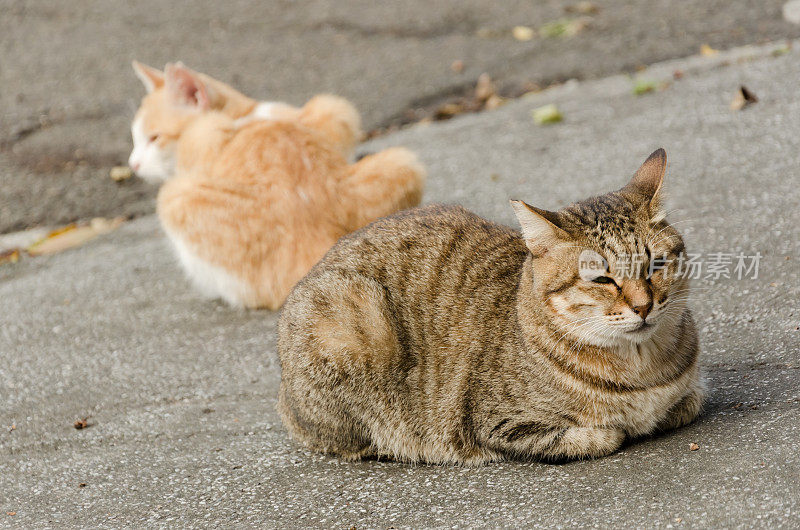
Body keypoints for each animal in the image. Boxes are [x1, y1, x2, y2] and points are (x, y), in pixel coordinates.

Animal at [130, 62, 424, 310]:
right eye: (135, 138)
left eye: (154, 138)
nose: (133, 164)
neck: (240, 114)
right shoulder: (331, 112)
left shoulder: (201, 140)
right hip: (402, 162)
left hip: (174, 196)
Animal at [278, 148, 704, 462]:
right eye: (602, 279)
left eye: (655, 265)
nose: (644, 306)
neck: (642, 368)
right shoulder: (496, 423)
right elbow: (605, 435)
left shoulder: (688, 394)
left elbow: (687, 403)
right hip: (353, 317)